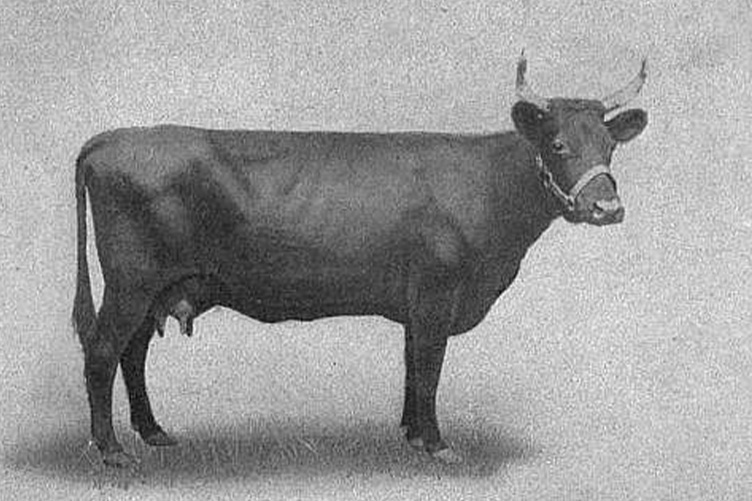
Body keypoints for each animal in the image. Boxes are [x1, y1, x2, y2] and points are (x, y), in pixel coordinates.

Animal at [72, 54, 648, 467]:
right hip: (132, 282)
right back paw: (112, 451)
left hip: (156, 287)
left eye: (608, 146)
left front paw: (413, 435)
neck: (488, 187)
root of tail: (113, 138)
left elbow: (413, 366)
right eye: (558, 144)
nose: (607, 208)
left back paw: (153, 433)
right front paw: (439, 446)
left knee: (133, 353)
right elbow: (430, 367)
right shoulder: (437, 292)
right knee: (102, 351)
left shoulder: (417, 302)